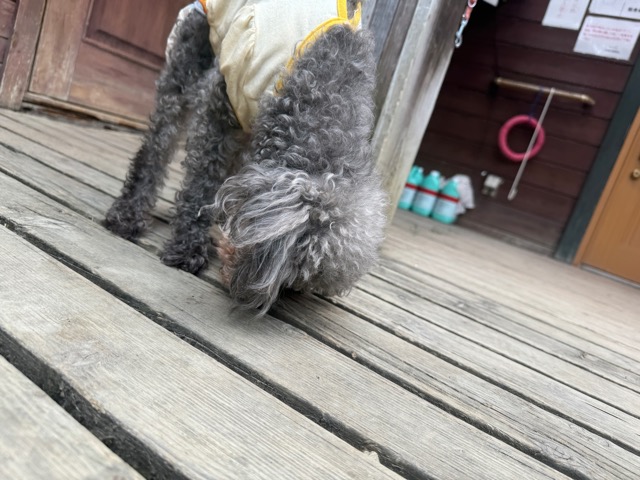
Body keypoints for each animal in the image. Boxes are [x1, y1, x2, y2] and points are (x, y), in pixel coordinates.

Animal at [104, 0, 387, 313]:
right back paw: (127, 213)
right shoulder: (224, 102)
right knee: (158, 143)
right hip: (190, 57)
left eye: (297, 282)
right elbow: (201, 182)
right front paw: (187, 245)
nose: (247, 291)